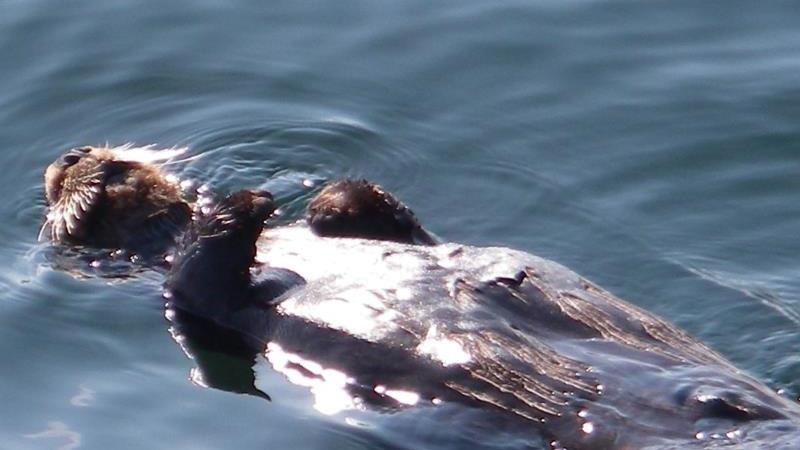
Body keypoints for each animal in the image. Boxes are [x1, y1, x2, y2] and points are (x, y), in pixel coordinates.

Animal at [41, 146, 800, 449]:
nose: (74, 158)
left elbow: (379, 218)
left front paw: (329, 197)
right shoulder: (198, 306)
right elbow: (197, 280)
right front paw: (244, 203)